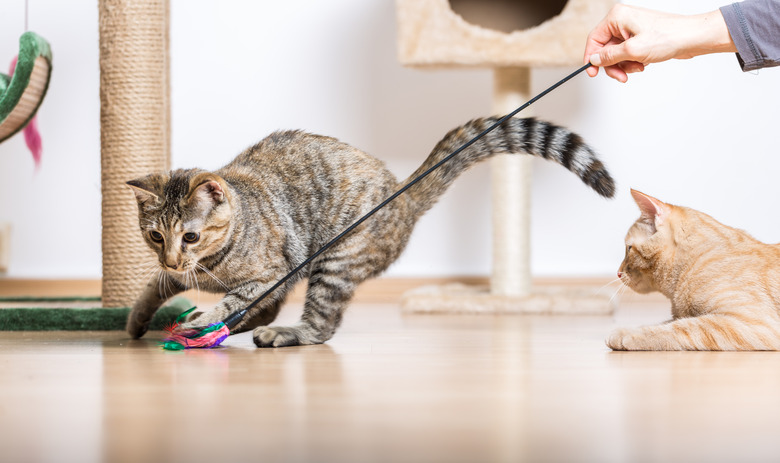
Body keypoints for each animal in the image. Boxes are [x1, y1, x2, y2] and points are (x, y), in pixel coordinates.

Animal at [126, 117, 616, 348]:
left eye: (190, 236)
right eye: (156, 237)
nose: (172, 257)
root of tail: (402, 196)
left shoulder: (268, 274)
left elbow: (232, 299)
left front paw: (202, 319)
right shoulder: (177, 273)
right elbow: (153, 286)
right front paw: (136, 320)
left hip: (333, 261)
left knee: (320, 327)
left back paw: (282, 333)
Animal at [608, 190, 780, 350]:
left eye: (629, 248)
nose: (618, 273)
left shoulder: (753, 324)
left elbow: (682, 327)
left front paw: (626, 334)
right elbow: (665, 323)